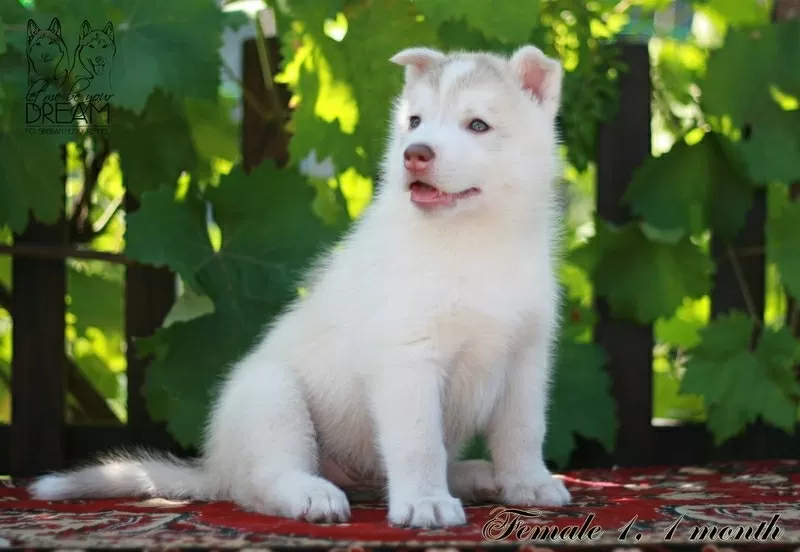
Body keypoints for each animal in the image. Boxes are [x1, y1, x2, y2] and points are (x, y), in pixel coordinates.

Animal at [29, 42, 568, 528]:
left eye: (478, 125)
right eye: (415, 122)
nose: (414, 154)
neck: (474, 241)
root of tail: (215, 468)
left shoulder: (527, 359)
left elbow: (524, 430)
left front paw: (528, 484)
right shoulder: (408, 360)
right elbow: (418, 443)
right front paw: (425, 504)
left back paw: (479, 476)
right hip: (273, 396)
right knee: (264, 483)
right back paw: (313, 496)